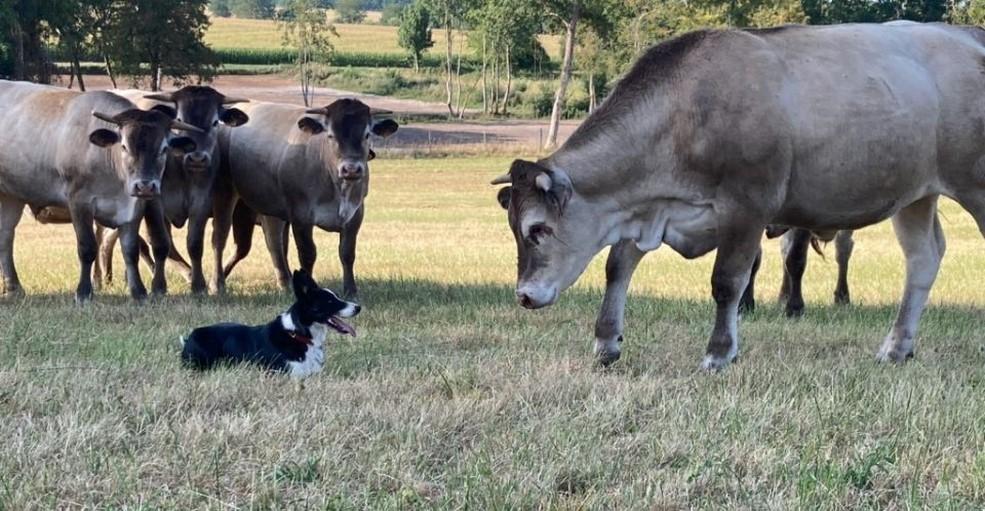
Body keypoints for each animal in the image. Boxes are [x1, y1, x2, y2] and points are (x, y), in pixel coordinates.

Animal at [0, 81, 201, 300]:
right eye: (124, 146)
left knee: (6, 234)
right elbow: (87, 247)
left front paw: (138, 291)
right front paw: (83, 292)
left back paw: (13, 287)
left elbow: (130, 250)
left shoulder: (134, 206)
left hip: (11, 196)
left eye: (164, 148)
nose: (145, 185)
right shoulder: (79, 201)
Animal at [97, 86, 250, 294]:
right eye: (180, 119)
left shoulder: (203, 202)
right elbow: (161, 243)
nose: (197, 158)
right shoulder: (155, 202)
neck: (181, 169)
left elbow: (198, 243)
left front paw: (201, 285)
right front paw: (158, 286)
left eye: (215, 122)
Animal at [496, 23, 984, 368]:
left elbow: (727, 280)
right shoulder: (652, 208)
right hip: (915, 195)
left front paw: (719, 352)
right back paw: (896, 347)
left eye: (538, 229)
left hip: (975, 185)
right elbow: (618, 267)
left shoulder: (747, 206)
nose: (524, 296)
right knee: (923, 259)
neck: (686, 112)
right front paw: (606, 341)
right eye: (516, 230)